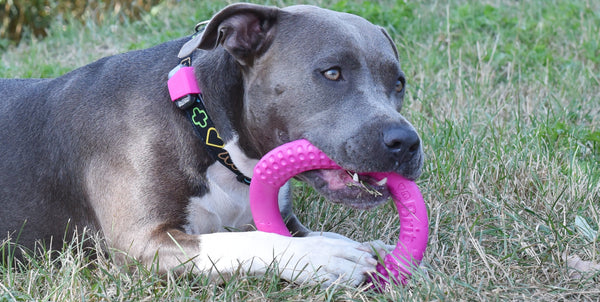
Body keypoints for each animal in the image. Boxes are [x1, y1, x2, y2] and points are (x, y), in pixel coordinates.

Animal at [0, 1, 422, 286]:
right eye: (332, 73)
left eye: (399, 83)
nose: (406, 142)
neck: (208, 129)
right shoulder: (143, 242)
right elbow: (241, 242)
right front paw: (323, 256)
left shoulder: (286, 219)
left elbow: (316, 232)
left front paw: (374, 248)